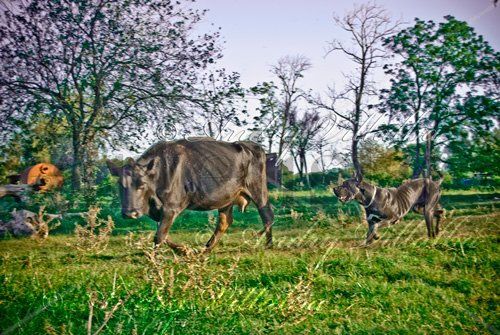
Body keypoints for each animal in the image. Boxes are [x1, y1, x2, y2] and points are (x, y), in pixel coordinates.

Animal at [107, 138, 276, 253]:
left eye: (142, 185)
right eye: (120, 185)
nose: (130, 213)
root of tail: (251, 146)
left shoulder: (171, 207)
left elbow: (159, 235)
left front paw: (155, 258)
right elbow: (163, 234)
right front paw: (183, 250)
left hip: (258, 189)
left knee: (267, 215)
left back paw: (266, 243)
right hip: (227, 197)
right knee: (224, 222)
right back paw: (207, 248)